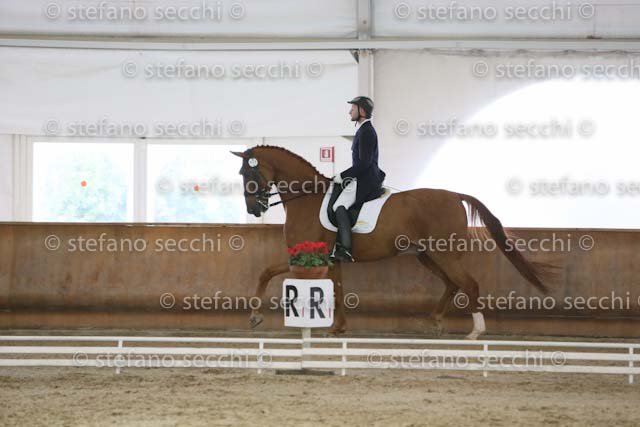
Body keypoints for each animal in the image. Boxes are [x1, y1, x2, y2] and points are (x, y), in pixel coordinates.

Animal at [231, 145, 554, 339]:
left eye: (249, 172)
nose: (254, 209)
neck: (306, 197)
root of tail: (455, 195)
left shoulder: (309, 257)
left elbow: (266, 272)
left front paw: (255, 316)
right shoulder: (332, 260)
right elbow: (338, 290)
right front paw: (338, 328)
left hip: (444, 254)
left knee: (469, 284)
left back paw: (475, 332)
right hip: (428, 255)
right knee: (452, 284)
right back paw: (434, 321)